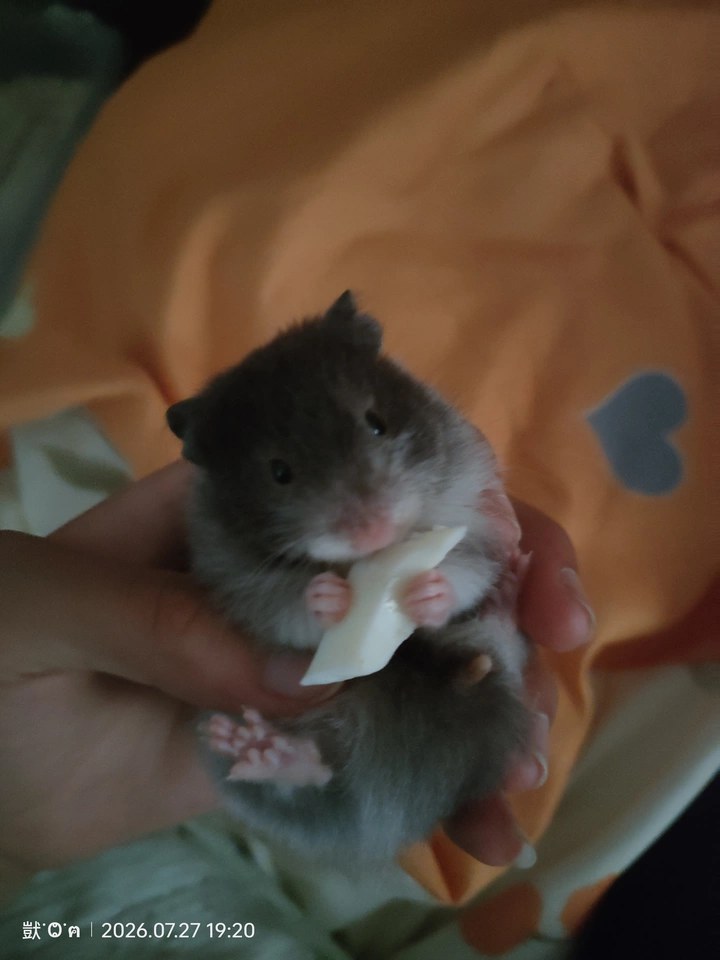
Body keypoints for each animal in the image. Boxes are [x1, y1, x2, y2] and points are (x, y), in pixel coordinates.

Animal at [167, 291, 530, 861]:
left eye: (376, 422)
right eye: (279, 472)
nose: (371, 528)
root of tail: (388, 812)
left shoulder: (476, 520)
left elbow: (465, 570)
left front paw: (430, 590)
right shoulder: (238, 579)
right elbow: (288, 608)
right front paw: (328, 598)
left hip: (496, 669)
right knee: (314, 775)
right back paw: (257, 748)